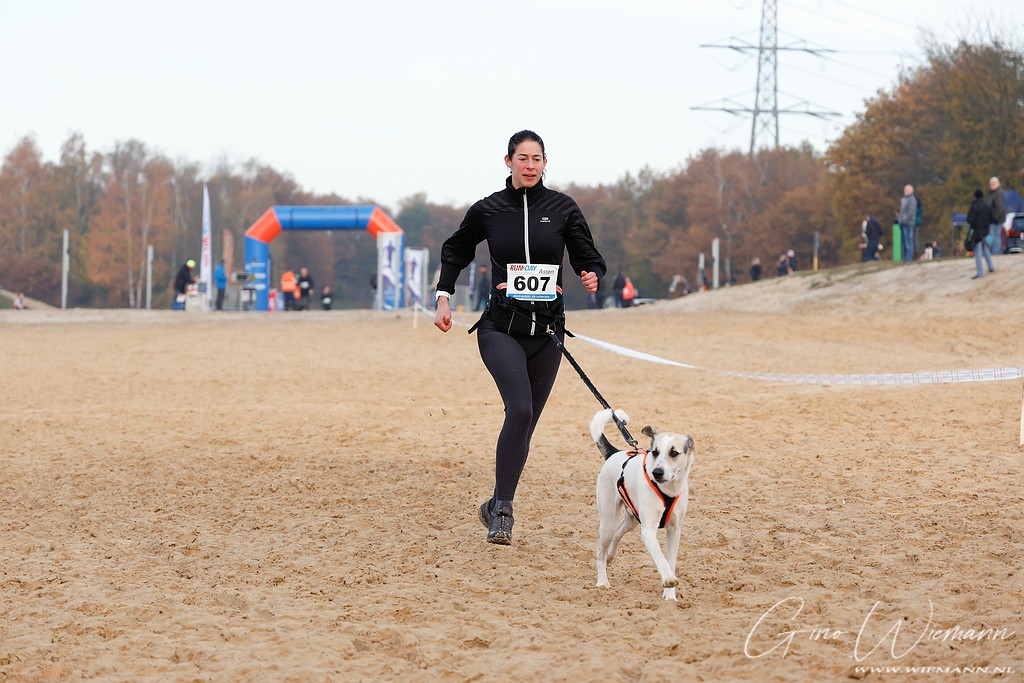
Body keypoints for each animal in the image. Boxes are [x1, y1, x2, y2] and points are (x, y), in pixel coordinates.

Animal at [593, 409, 696, 602]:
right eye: (655, 452)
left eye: (674, 453)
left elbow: (670, 561)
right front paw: (668, 579)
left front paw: (670, 598)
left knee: (618, 533)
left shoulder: (674, 531)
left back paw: (611, 555)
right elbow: (661, 558)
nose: (657, 472)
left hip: (632, 519)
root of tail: (614, 453)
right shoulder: (648, 530)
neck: (667, 489)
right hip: (608, 522)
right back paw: (602, 582)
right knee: (600, 551)